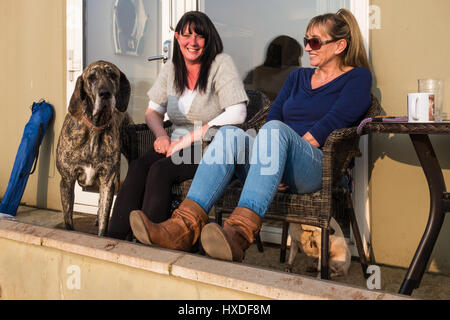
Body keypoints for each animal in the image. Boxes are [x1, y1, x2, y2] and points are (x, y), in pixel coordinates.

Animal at [55, 60, 131, 236]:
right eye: (91, 77)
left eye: (113, 75)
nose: (105, 94)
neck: (95, 127)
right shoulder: (67, 180)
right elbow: (68, 220)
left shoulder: (107, 182)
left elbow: (104, 220)